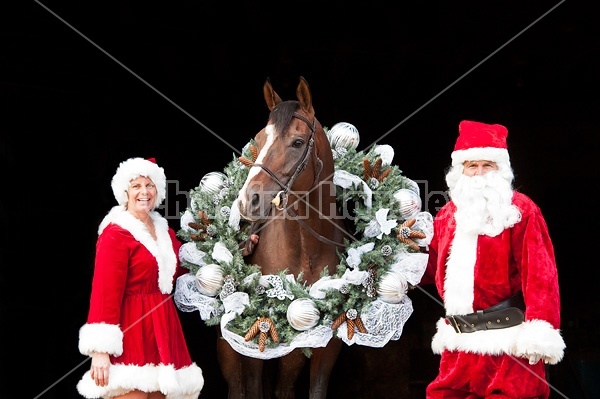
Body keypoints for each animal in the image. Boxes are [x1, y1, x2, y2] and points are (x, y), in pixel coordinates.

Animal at [218, 76, 350, 398]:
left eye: (298, 142)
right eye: (259, 141)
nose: (248, 201)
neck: (305, 249)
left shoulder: (327, 347)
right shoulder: (254, 343)